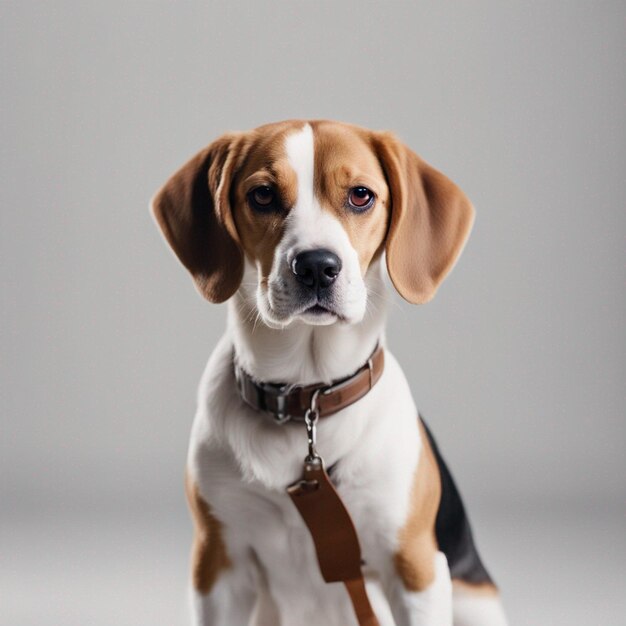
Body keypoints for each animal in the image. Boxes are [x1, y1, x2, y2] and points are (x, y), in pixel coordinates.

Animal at [151, 120, 508, 624]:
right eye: (262, 195)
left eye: (360, 195)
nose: (317, 266)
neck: (307, 395)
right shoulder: (218, 564)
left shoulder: (415, 566)